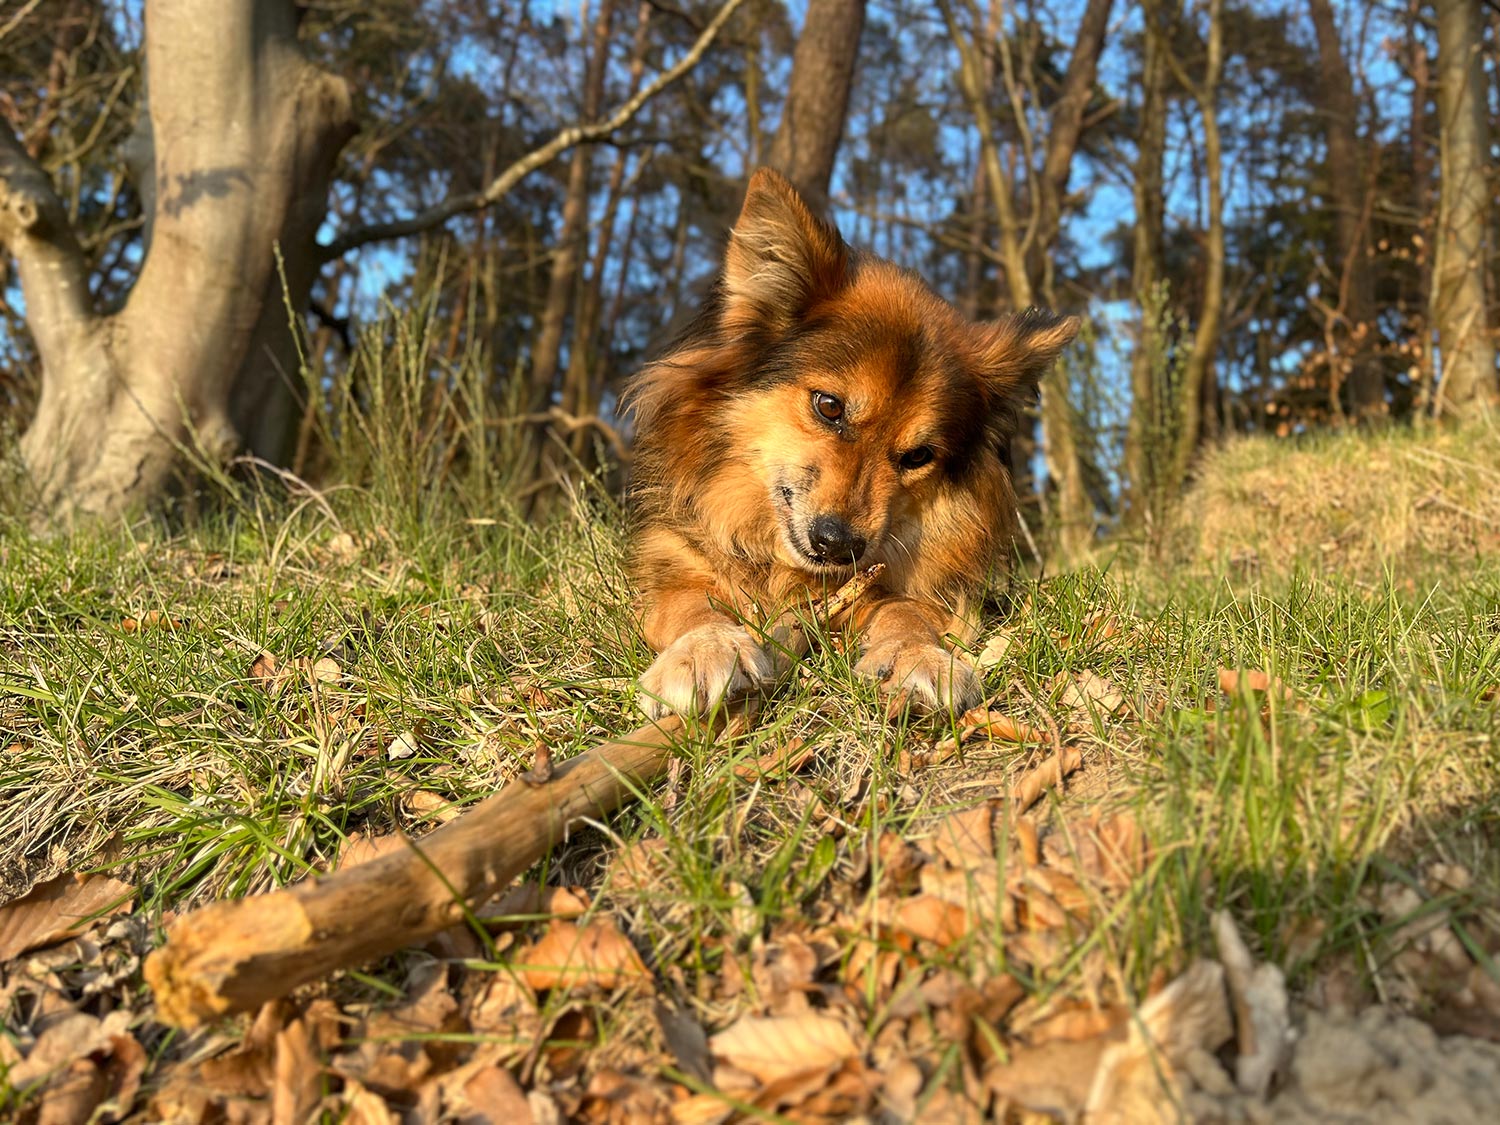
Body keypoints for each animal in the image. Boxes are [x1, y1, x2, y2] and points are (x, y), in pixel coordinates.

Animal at [625, 168, 1077, 719]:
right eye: (829, 407)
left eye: (918, 456)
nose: (840, 547)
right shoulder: (672, 566)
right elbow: (689, 602)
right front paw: (705, 648)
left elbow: (906, 614)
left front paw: (915, 655)